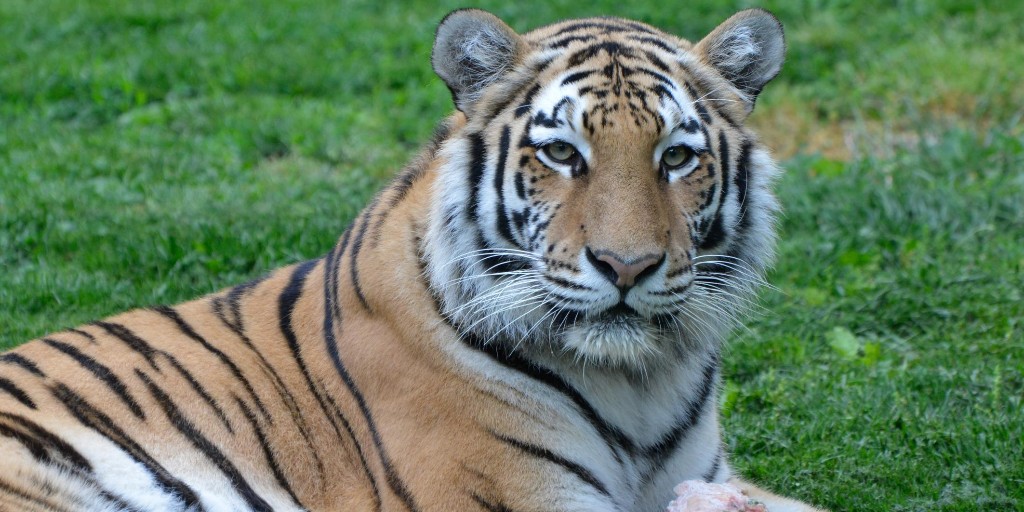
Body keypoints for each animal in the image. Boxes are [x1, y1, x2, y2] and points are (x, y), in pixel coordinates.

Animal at [0, 8, 823, 512]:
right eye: (562, 154)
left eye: (676, 158)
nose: (627, 267)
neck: (640, 385)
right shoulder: (515, 495)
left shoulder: (706, 475)